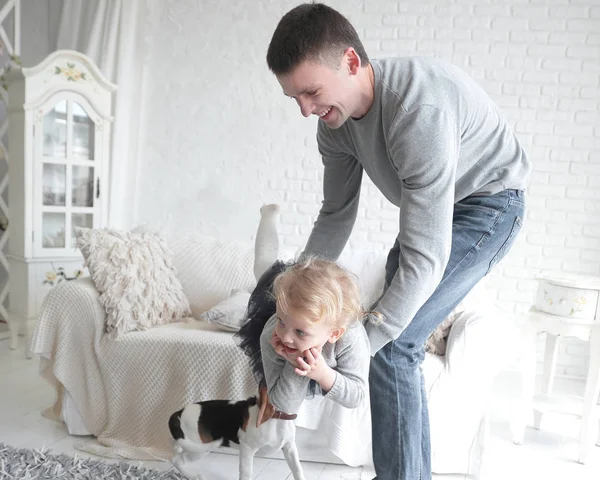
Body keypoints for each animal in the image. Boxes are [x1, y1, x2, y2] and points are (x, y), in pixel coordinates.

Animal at [168, 386, 304, 480]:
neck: (277, 417)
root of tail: (179, 412)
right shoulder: (247, 449)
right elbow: (247, 473)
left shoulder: (290, 447)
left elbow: (298, 469)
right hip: (199, 449)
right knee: (176, 459)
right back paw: (191, 475)